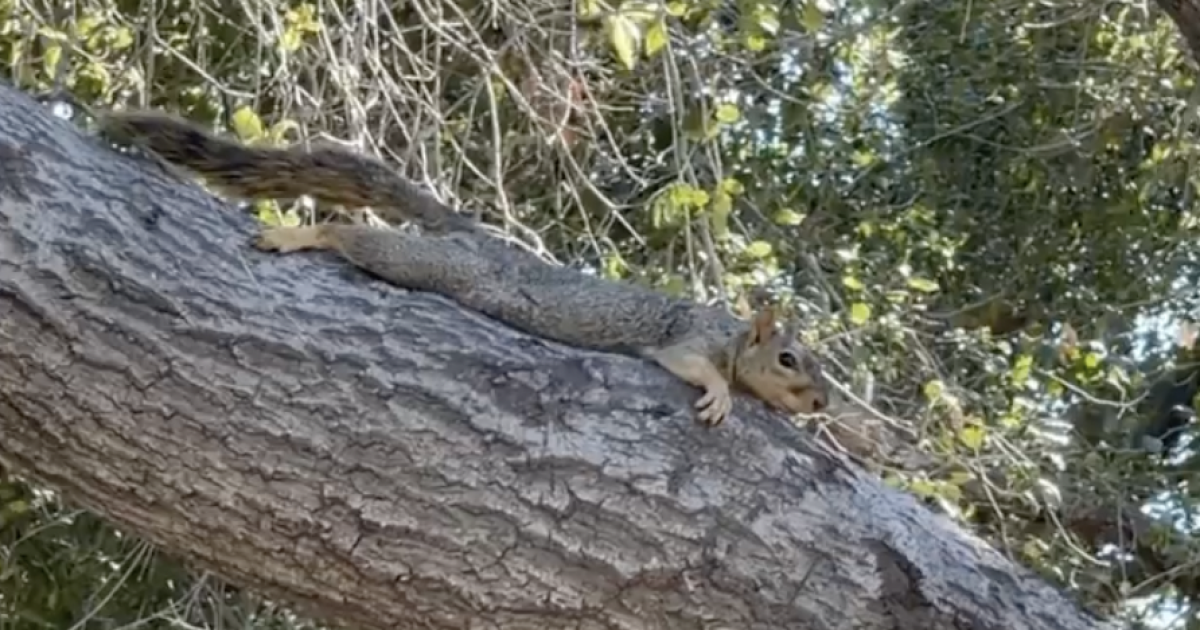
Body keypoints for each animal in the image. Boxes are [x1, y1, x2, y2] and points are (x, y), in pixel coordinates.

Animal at [96, 109, 832, 426]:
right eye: (789, 358)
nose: (822, 403)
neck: (734, 333)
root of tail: (470, 234)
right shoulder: (687, 334)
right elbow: (688, 363)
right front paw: (720, 391)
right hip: (439, 266)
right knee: (351, 236)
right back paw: (302, 236)